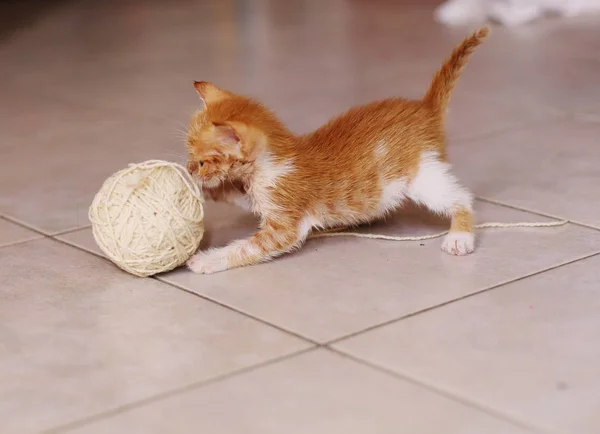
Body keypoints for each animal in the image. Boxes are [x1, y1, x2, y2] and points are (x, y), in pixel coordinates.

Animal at [185, 28, 490, 274]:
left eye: (201, 162)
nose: (188, 169)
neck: (271, 163)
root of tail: (425, 108)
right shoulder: (258, 195)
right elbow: (240, 196)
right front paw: (211, 191)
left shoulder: (286, 220)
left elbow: (248, 247)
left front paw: (208, 260)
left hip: (422, 176)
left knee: (461, 197)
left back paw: (460, 237)